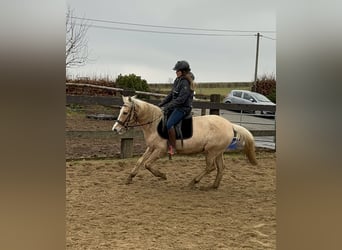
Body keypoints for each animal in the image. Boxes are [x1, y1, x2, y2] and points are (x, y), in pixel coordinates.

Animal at [112, 94, 256, 188]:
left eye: (125, 112)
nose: (115, 129)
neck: (155, 124)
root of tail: (230, 125)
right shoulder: (151, 147)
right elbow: (140, 161)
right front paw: (129, 178)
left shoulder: (160, 150)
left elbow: (147, 164)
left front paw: (162, 175)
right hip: (218, 152)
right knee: (220, 168)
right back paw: (213, 186)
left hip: (211, 152)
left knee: (210, 167)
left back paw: (193, 182)